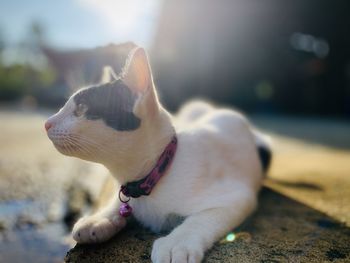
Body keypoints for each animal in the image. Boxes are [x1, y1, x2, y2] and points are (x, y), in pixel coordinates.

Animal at [45, 46, 272, 262]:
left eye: (82, 108)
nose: (46, 123)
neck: (158, 168)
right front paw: (101, 219)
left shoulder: (237, 194)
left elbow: (202, 218)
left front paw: (177, 242)